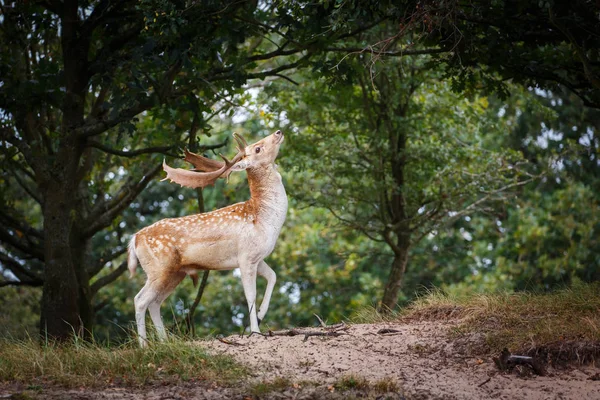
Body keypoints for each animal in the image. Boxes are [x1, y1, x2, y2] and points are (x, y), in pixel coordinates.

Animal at [127, 130, 288, 346]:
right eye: (257, 148)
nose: (278, 132)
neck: (264, 219)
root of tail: (135, 238)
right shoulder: (245, 256)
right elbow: (250, 294)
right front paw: (255, 331)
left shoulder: (258, 257)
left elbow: (273, 276)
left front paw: (262, 315)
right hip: (158, 268)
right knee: (140, 300)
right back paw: (144, 346)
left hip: (175, 273)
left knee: (155, 302)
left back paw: (166, 341)